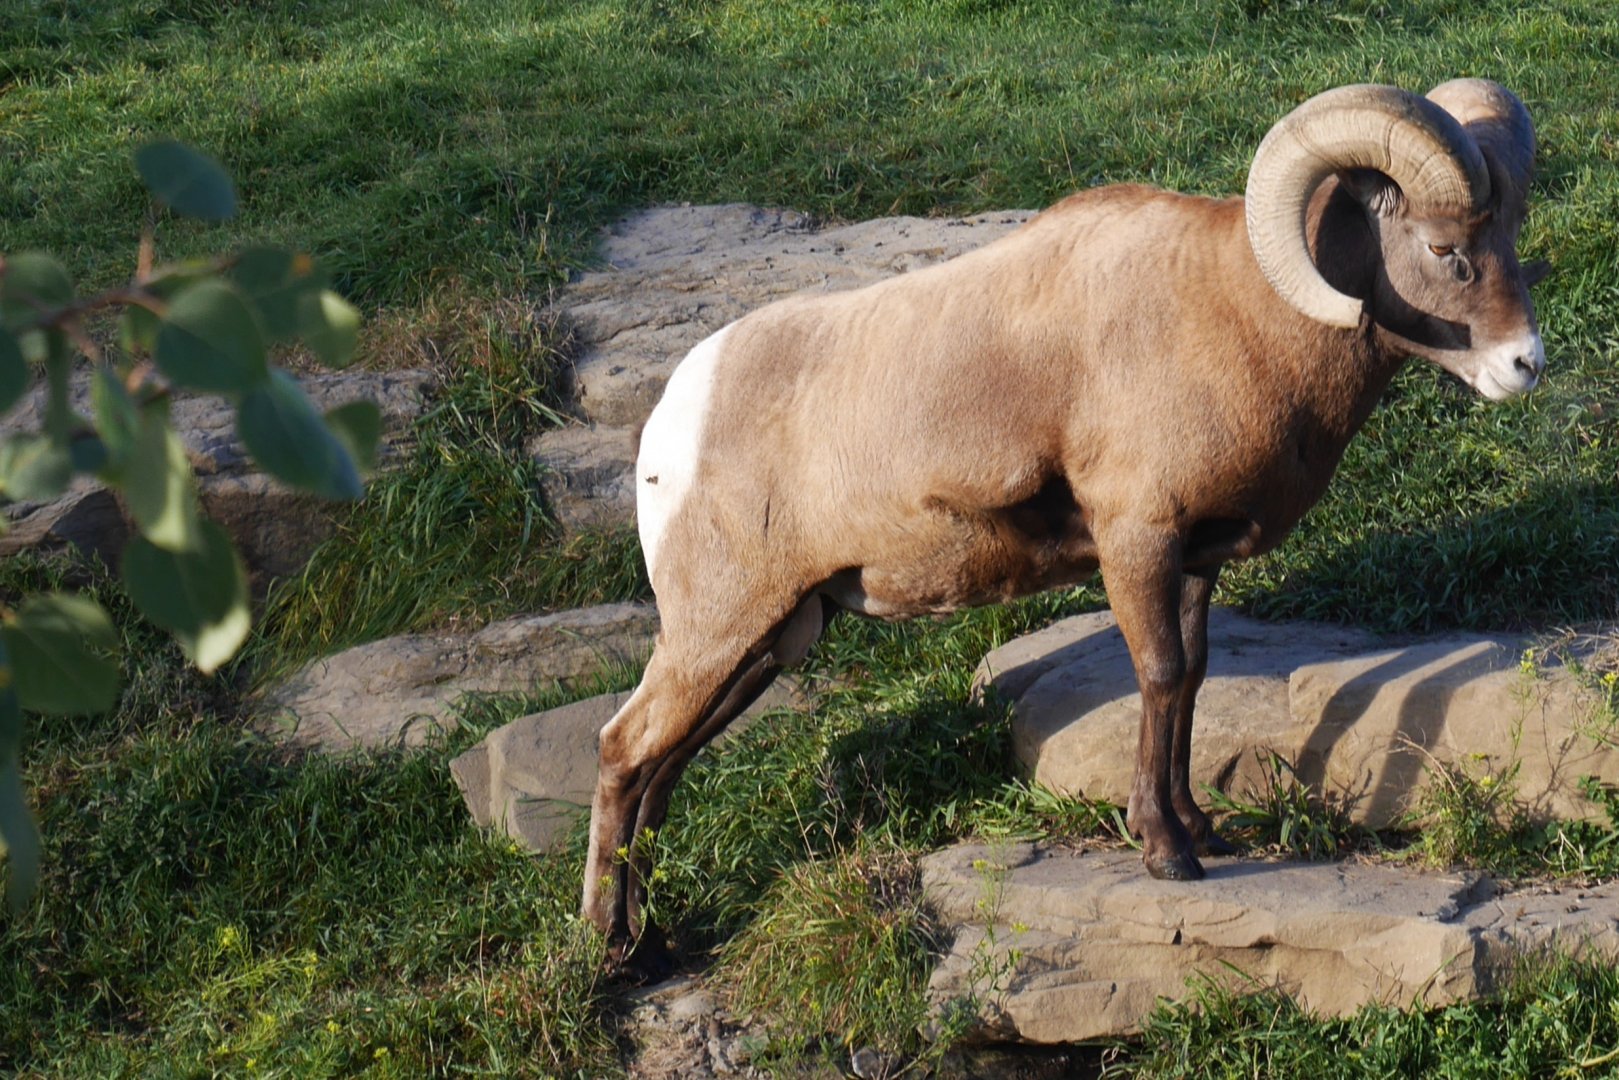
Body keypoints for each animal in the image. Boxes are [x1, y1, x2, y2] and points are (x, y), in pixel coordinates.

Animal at [583, 79, 1547, 974]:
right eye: (1443, 250)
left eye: (1505, 242)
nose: (1523, 366)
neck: (1237, 313)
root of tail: (670, 427)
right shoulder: (1136, 542)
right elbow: (1159, 676)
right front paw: (1166, 853)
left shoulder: (1193, 560)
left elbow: (1191, 680)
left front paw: (1200, 827)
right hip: (716, 632)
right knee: (623, 750)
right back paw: (610, 945)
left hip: (767, 645)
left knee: (658, 771)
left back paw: (650, 945)